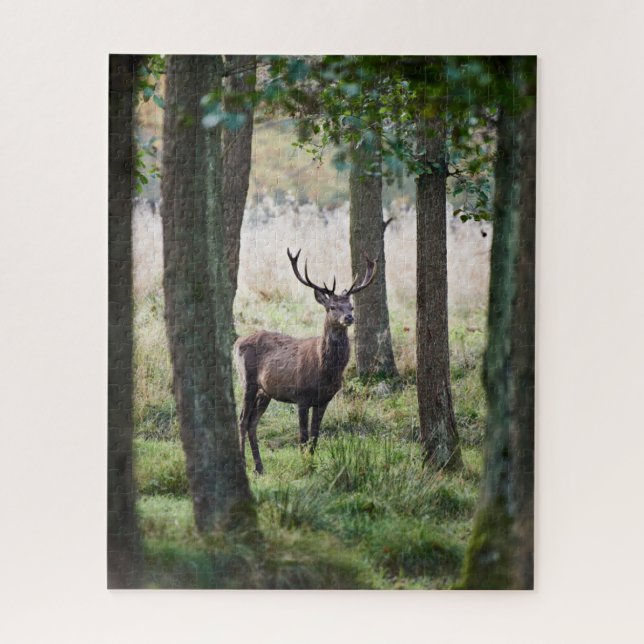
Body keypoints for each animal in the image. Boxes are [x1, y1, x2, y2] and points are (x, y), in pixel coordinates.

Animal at [234, 248, 377, 474]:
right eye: (332, 306)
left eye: (351, 306)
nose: (348, 318)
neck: (325, 370)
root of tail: (237, 342)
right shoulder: (301, 396)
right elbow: (302, 436)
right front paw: (304, 465)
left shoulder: (323, 400)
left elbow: (315, 436)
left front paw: (312, 463)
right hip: (247, 381)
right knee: (242, 420)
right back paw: (244, 462)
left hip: (265, 391)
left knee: (252, 422)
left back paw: (259, 467)